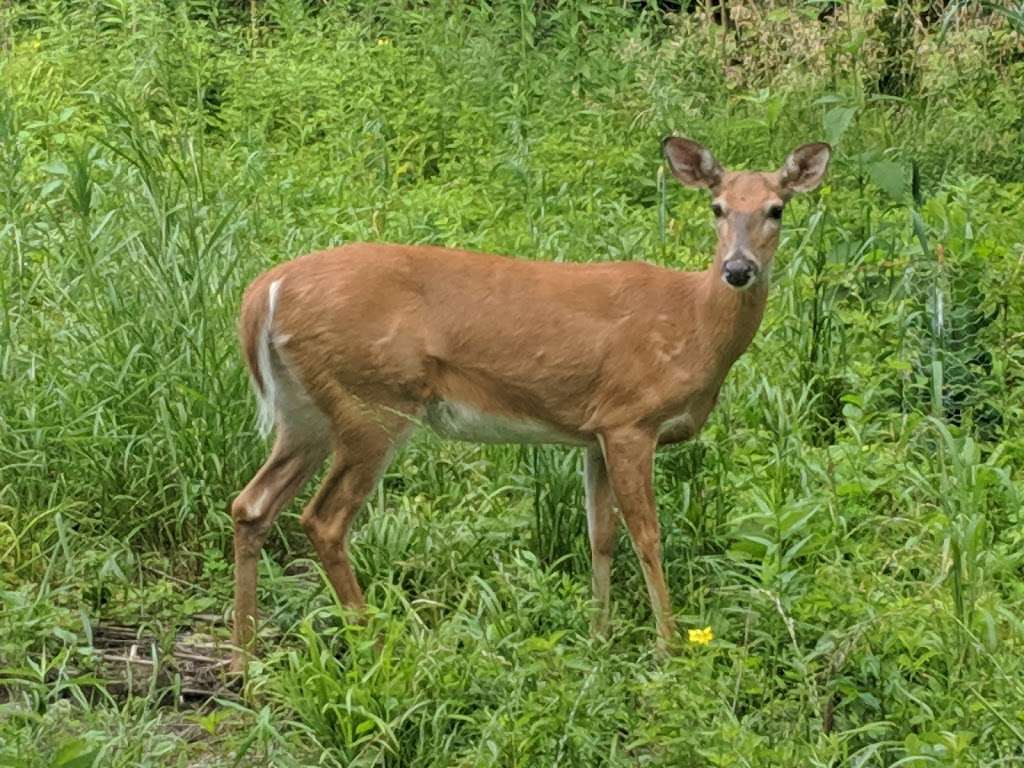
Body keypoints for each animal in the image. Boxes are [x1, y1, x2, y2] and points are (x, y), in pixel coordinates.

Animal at [226, 137, 831, 671]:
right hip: (372, 403)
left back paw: (246, 662)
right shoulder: (632, 420)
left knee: (250, 504)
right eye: (717, 207)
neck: (695, 325)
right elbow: (648, 536)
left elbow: (601, 536)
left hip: (305, 413)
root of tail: (264, 293)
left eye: (776, 209)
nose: (738, 269)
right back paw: (375, 649)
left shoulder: (596, 432)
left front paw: (598, 638)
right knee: (322, 520)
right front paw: (668, 649)